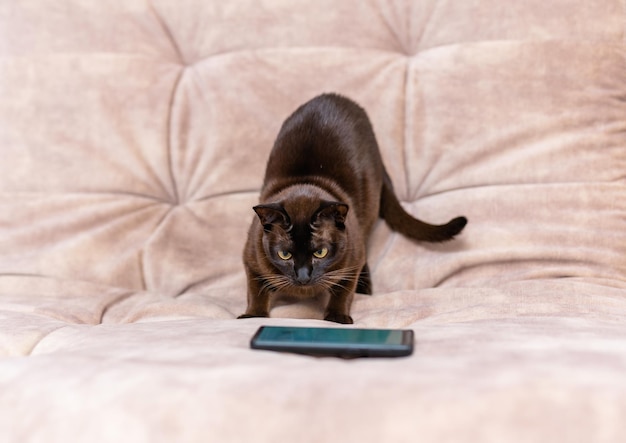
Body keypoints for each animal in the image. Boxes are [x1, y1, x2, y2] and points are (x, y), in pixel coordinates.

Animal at [238, 93, 464, 324]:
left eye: (320, 252)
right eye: (285, 255)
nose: (303, 276)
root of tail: (335, 97)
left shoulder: (351, 264)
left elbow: (343, 292)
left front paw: (337, 319)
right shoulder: (252, 262)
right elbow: (255, 293)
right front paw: (252, 316)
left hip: (368, 210)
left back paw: (365, 289)